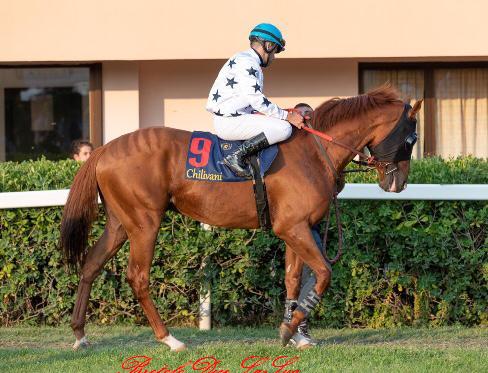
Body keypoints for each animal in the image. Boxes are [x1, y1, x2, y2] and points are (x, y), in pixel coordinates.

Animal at [60, 84, 420, 348]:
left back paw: (79, 333)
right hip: (144, 223)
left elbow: (293, 278)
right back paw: (169, 339)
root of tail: (104, 149)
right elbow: (323, 274)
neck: (315, 153)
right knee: (138, 277)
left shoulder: (297, 228)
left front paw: (294, 331)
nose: (398, 183)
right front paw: (291, 329)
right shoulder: (293, 228)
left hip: (120, 223)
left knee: (91, 265)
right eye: (411, 138)